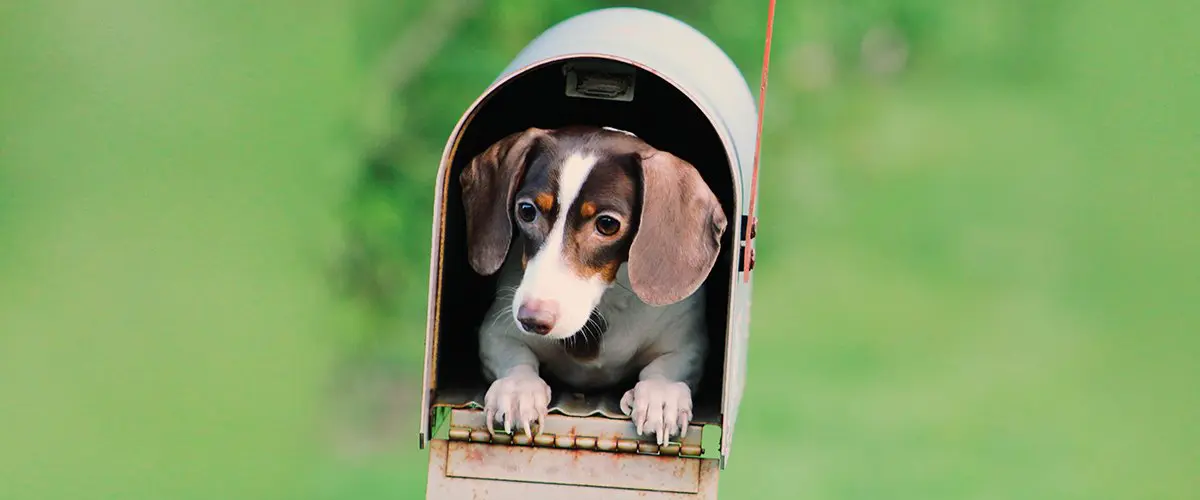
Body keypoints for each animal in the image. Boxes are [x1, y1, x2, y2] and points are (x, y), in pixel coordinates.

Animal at [458, 124, 724, 443]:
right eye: (526, 211)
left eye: (607, 224)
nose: (532, 320)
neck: (606, 302)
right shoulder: (495, 333)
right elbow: (515, 358)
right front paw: (518, 389)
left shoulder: (688, 345)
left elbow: (666, 368)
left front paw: (662, 395)